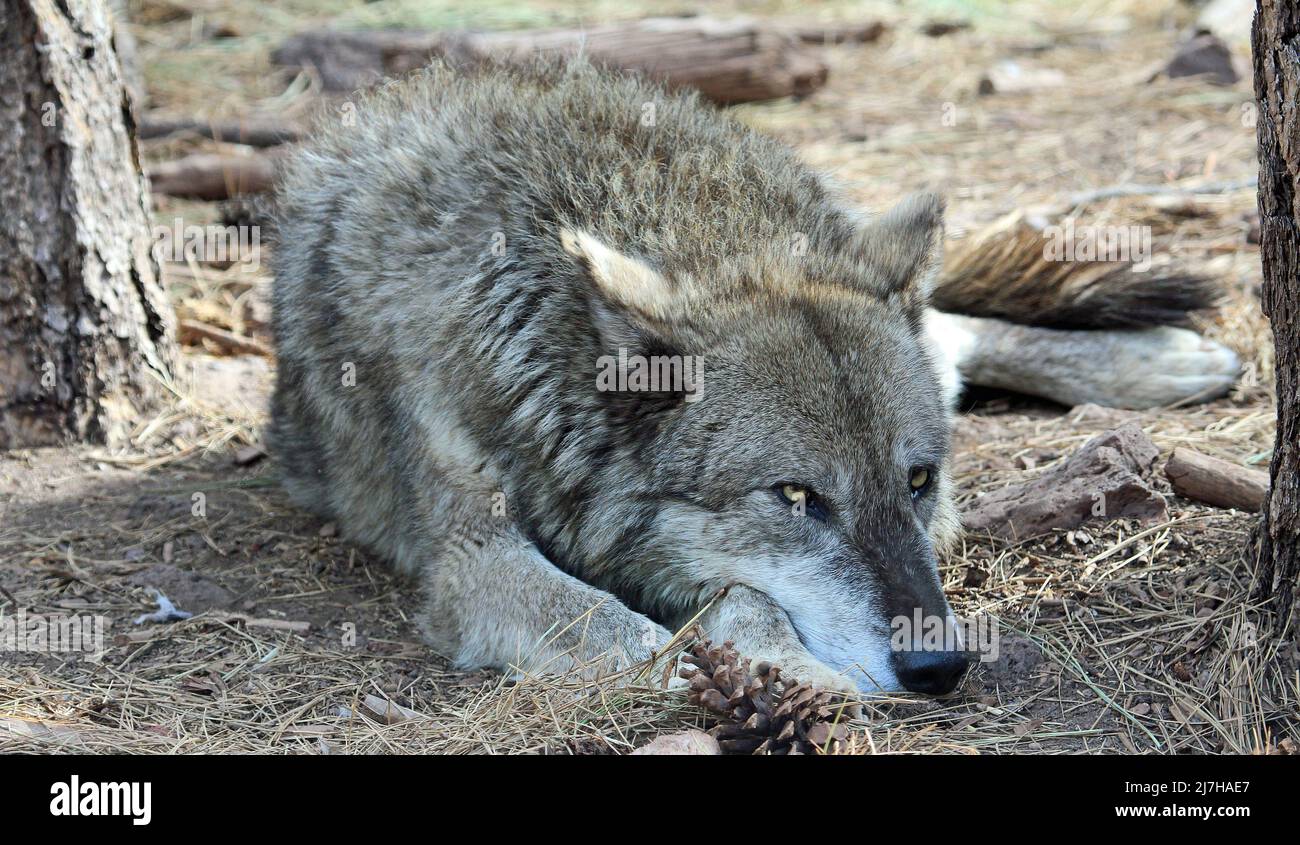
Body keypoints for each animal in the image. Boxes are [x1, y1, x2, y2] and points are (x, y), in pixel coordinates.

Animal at [271, 57, 1237, 691]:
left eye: (918, 481)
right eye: (797, 496)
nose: (939, 665)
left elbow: (732, 596)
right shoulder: (473, 561)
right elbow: (639, 633)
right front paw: (779, 674)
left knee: (957, 332)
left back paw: (1160, 360)